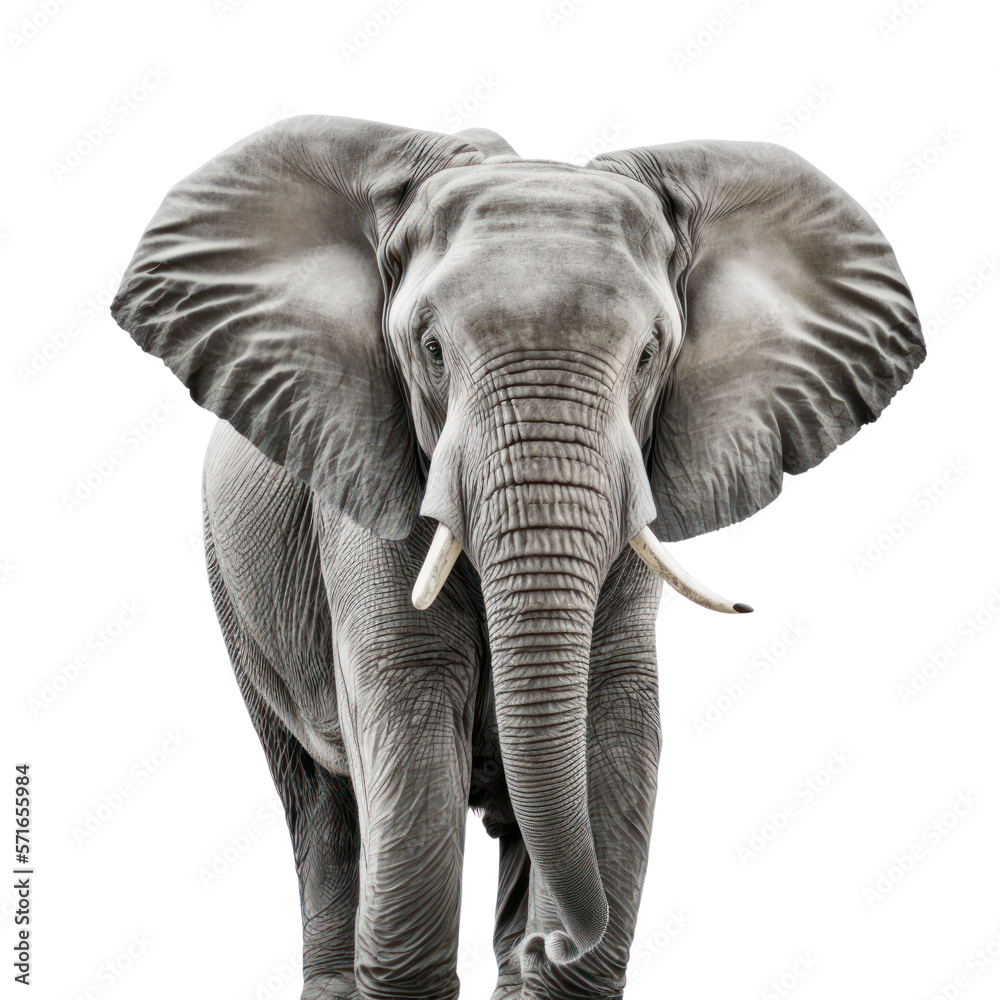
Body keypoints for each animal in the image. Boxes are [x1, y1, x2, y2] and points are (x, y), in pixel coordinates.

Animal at [111, 116, 924, 1000]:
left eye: (650, 354)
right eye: (431, 348)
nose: (555, 941)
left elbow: (617, 711)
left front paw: (555, 965)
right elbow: (406, 694)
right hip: (230, 584)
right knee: (319, 805)